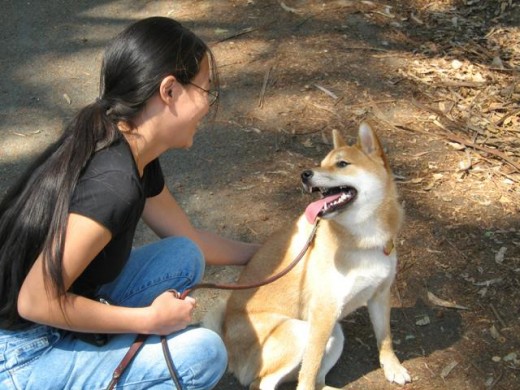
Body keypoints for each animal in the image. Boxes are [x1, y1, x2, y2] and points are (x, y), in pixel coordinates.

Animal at [205, 122, 412, 390]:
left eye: (342, 164)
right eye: (322, 162)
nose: (304, 174)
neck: (364, 240)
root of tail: (228, 344)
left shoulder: (379, 295)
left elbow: (385, 337)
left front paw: (392, 366)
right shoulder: (324, 312)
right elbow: (309, 370)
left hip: (335, 335)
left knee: (318, 380)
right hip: (299, 333)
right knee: (264, 383)